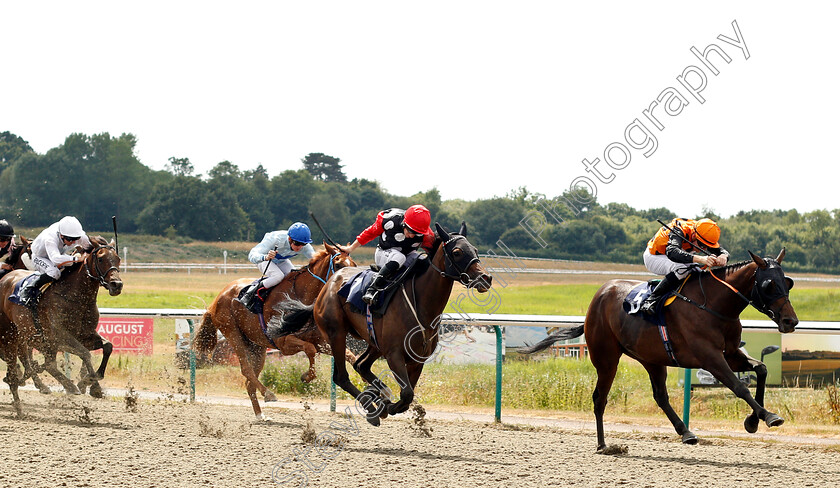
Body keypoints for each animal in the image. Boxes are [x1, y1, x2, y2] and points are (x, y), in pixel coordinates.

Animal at [0, 236, 123, 408]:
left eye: (118, 259)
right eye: (100, 258)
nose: (116, 285)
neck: (76, 298)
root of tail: (6, 277)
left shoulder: (84, 335)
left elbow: (108, 347)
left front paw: (90, 383)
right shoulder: (59, 336)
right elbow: (84, 354)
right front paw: (91, 384)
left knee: (45, 363)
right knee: (37, 361)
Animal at [193, 243, 354, 420]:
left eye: (354, 265)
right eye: (338, 265)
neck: (300, 299)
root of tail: (216, 300)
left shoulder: (319, 341)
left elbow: (350, 356)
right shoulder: (283, 342)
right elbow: (310, 350)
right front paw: (306, 376)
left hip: (257, 346)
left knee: (249, 381)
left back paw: (260, 415)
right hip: (232, 333)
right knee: (246, 370)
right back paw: (268, 394)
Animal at [270, 223, 492, 426]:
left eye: (475, 250)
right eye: (457, 252)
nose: (486, 278)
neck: (421, 305)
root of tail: (326, 287)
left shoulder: (417, 359)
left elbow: (408, 394)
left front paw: (385, 403)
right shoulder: (394, 355)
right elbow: (407, 394)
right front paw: (385, 405)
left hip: (373, 342)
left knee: (361, 365)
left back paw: (378, 395)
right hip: (336, 334)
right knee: (341, 376)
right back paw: (371, 406)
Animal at [524, 250, 800, 452]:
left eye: (787, 282)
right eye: (768, 284)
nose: (790, 321)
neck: (713, 304)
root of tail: (598, 297)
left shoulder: (731, 354)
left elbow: (761, 369)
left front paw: (753, 420)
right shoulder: (710, 357)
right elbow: (739, 387)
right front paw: (768, 416)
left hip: (652, 359)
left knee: (660, 396)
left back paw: (685, 432)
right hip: (606, 359)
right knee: (599, 398)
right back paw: (603, 445)